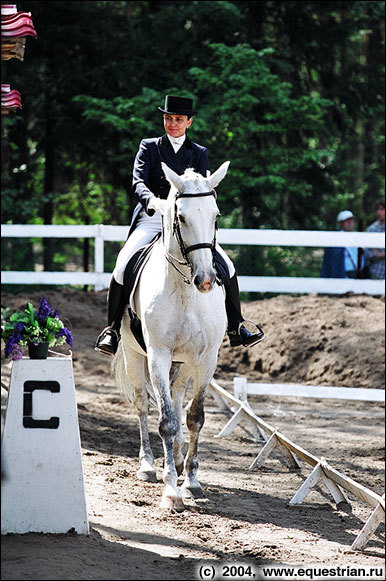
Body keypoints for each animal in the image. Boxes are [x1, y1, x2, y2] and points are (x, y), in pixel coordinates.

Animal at [113, 159, 231, 508]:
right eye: (181, 217)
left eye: (216, 215)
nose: (205, 280)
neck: (184, 292)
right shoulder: (158, 356)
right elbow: (165, 420)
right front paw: (170, 490)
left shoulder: (206, 359)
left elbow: (195, 417)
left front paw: (190, 480)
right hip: (135, 356)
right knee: (142, 403)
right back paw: (149, 465)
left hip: (185, 363)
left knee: (178, 397)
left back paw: (177, 459)